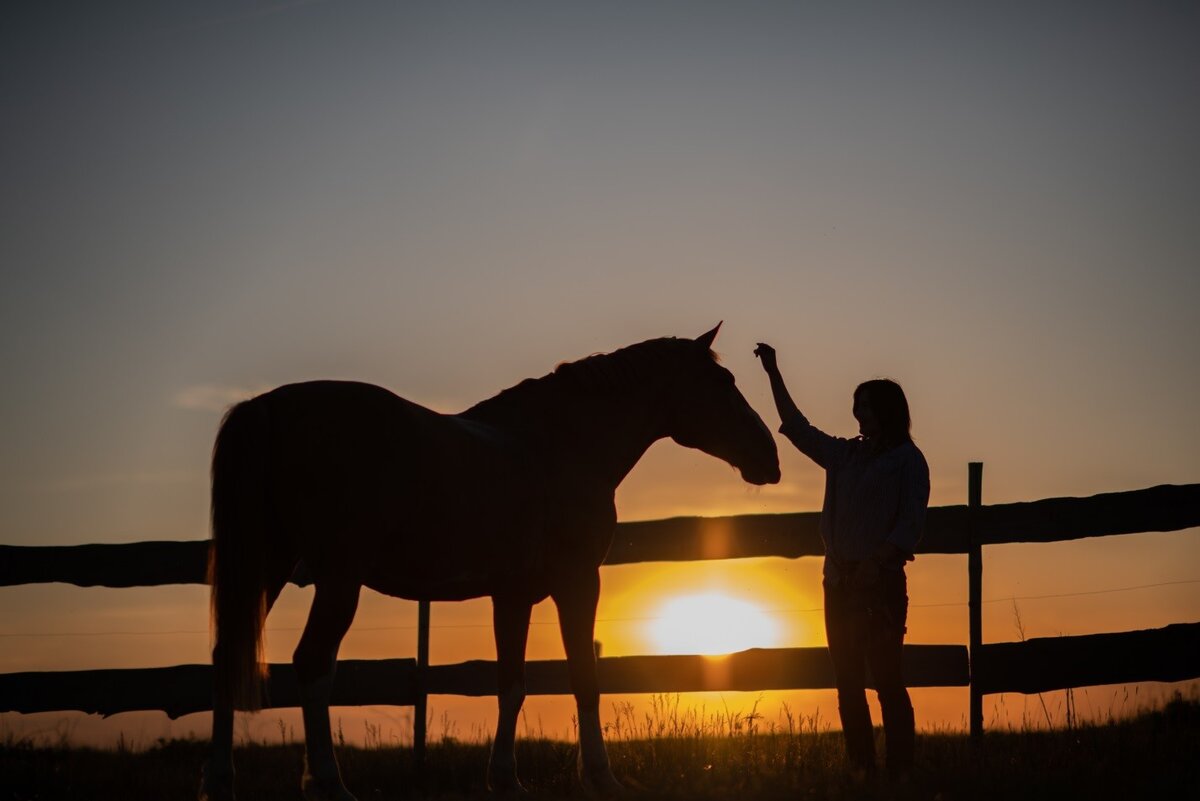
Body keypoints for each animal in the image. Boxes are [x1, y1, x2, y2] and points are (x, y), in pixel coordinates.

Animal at [199, 326, 777, 801]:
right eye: (723, 381)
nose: (769, 458)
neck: (559, 444)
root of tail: (268, 408)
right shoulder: (576, 583)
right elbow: (584, 679)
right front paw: (601, 778)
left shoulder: (513, 594)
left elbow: (512, 684)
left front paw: (505, 780)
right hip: (338, 579)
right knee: (313, 664)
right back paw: (329, 784)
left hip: (267, 566)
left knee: (227, 656)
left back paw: (222, 782)